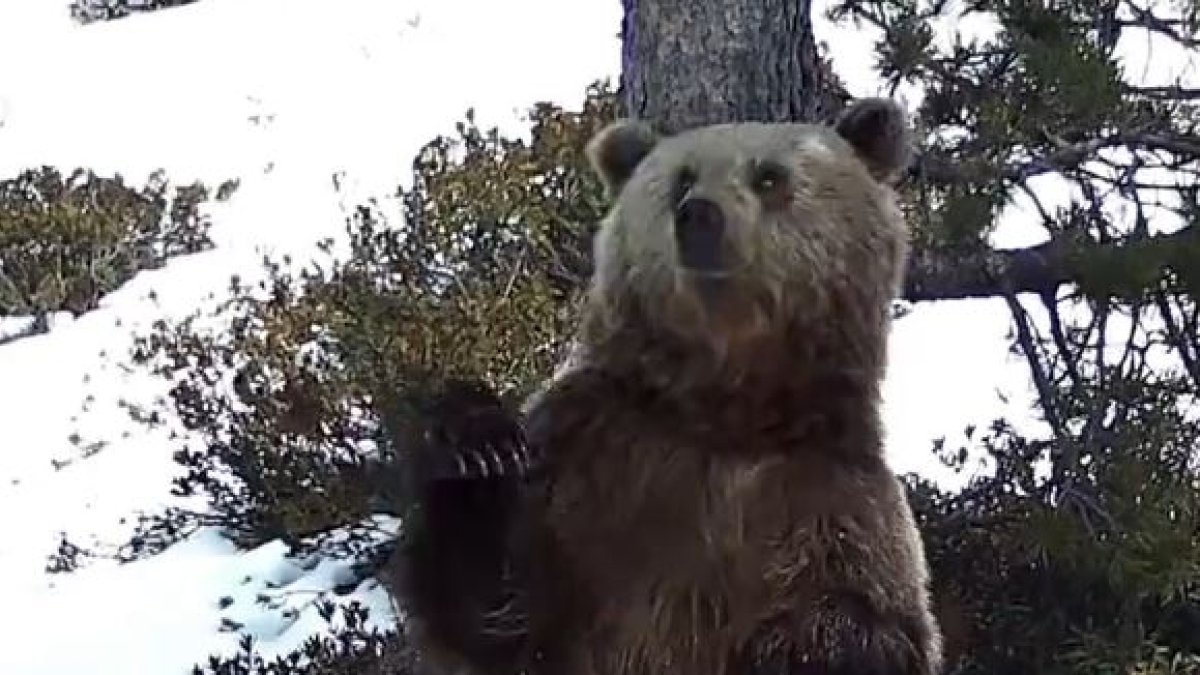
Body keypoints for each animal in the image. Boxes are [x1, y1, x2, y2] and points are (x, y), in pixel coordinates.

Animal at [393, 97, 945, 672]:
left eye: (769, 176)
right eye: (682, 179)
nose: (700, 215)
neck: (726, 406)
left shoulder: (831, 496)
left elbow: (865, 618)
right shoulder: (593, 464)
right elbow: (501, 607)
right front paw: (478, 445)